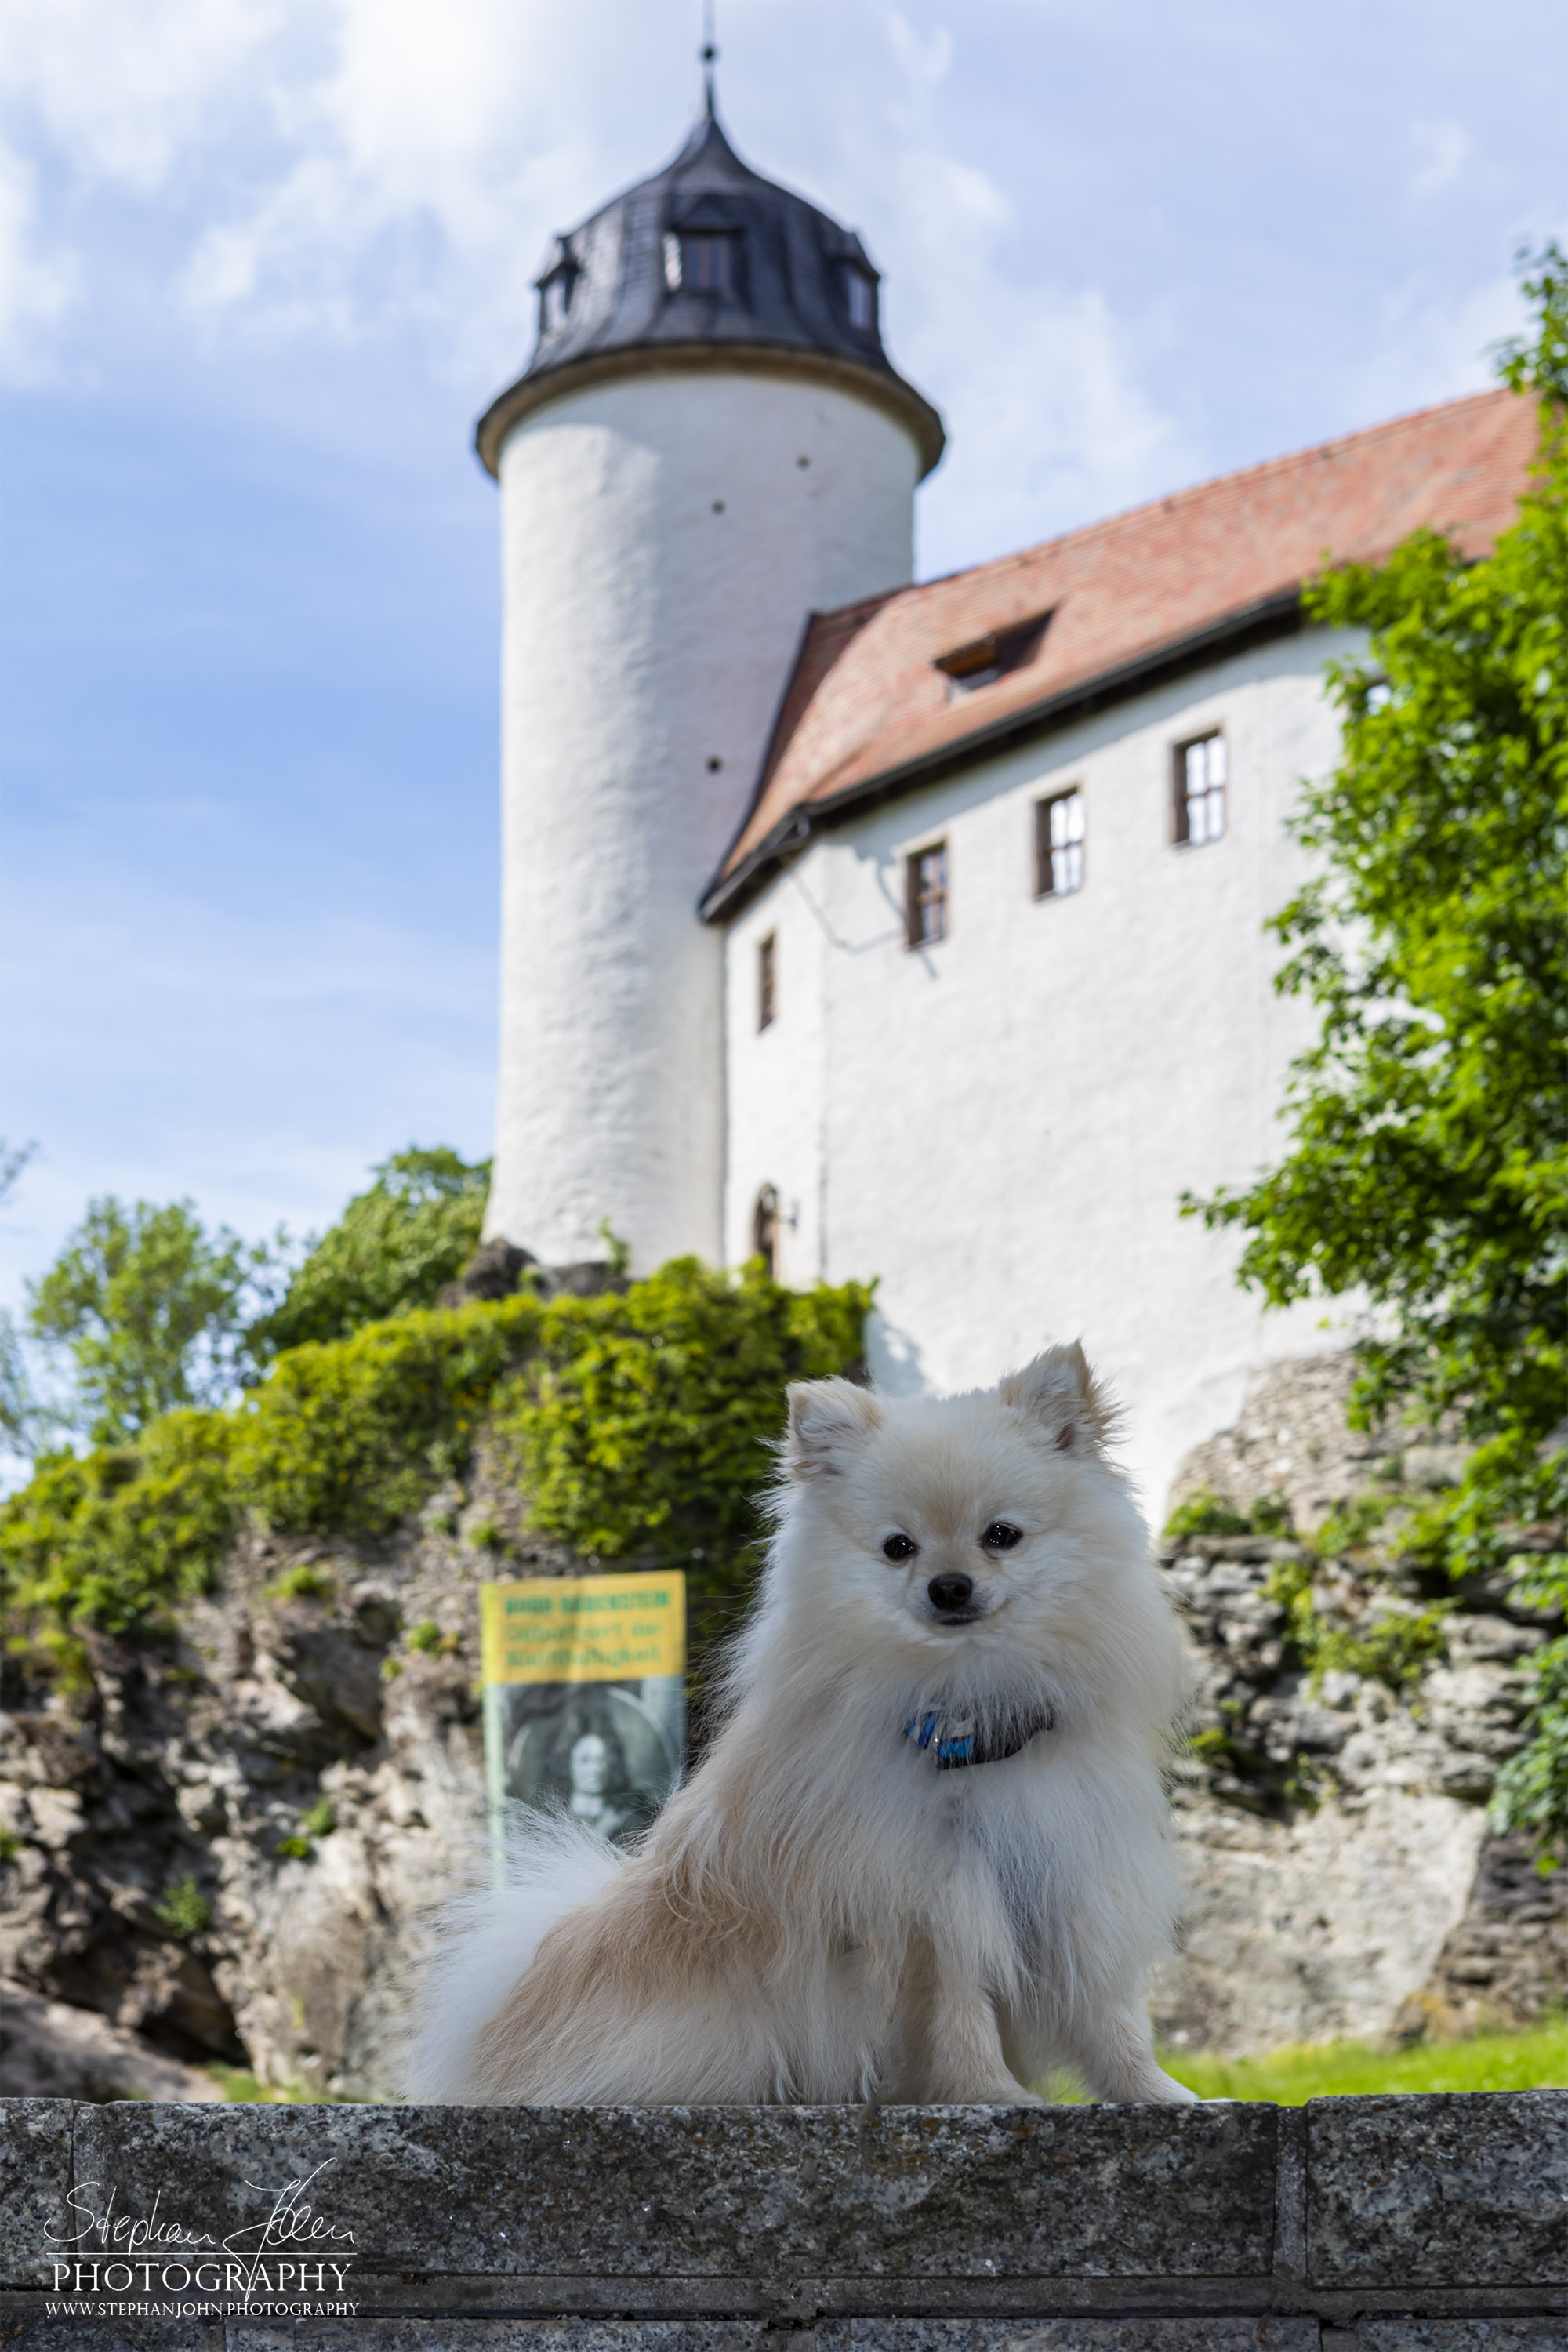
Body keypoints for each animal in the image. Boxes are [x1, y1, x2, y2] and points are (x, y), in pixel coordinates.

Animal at [411, 1345, 1194, 2117]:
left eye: (1001, 1536)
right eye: (898, 1547)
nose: (949, 1586)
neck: (967, 1718)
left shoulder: (1074, 1879)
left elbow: (1110, 2017)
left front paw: (1160, 2094)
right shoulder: (928, 1908)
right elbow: (958, 2016)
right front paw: (990, 2096)